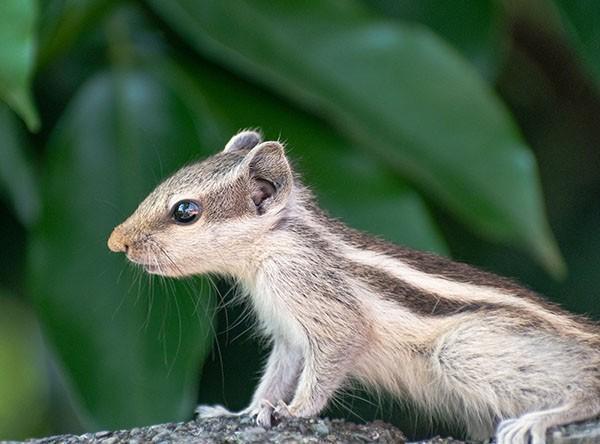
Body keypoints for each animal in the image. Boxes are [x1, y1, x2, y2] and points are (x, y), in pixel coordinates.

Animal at [109, 130, 600, 442]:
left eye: (185, 211)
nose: (116, 242)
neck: (271, 248)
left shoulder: (324, 308)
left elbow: (327, 364)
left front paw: (293, 411)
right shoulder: (288, 336)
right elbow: (276, 375)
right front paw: (242, 411)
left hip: (463, 352)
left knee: (588, 386)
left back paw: (548, 416)